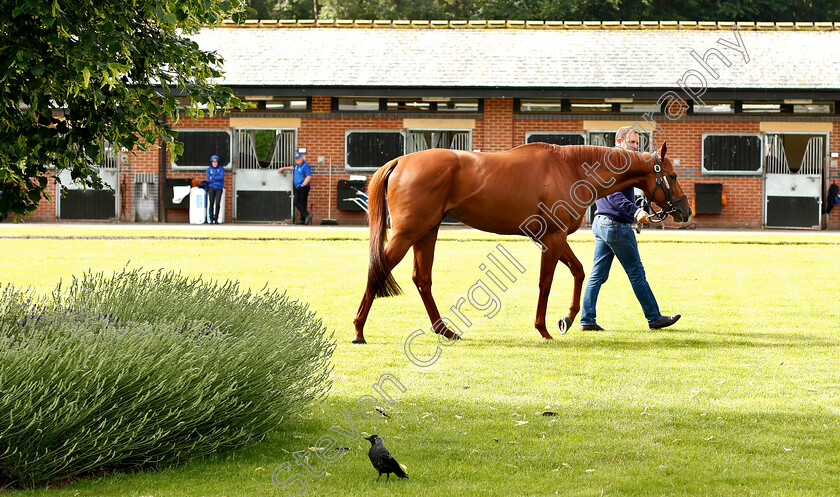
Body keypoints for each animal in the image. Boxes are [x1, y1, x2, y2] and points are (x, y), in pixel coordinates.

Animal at [352, 142, 688, 340]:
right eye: (671, 175)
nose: (684, 210)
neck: (571, 168)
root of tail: (400, 161)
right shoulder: (552, 238)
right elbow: (546, 282)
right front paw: (543, 329)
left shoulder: (554, 237)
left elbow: (579, 272)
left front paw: (567, 319)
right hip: (408, 233)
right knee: (377, 269)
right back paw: (358, 330)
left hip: (427, 232)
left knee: (422, 279)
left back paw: (445, 331)